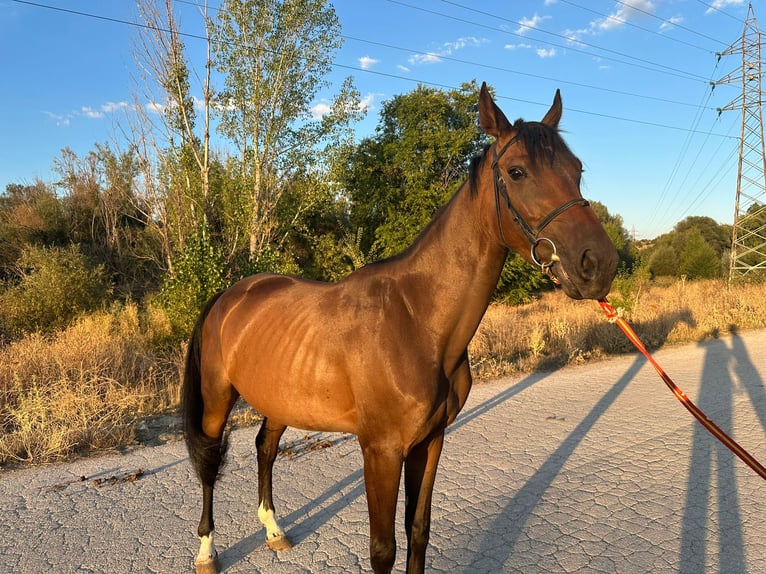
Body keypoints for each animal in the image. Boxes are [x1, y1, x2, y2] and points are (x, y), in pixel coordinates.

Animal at [183, 82, 620, 574]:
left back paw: (274, 531)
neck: (417, 321)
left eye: (576, 170)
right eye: (517, 171)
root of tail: (230, 295)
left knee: (265, 447)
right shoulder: (381, 452)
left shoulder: (430, 442)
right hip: (218, 399)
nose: (598, 264)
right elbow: (383, 550)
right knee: (209, 462)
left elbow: (418, 531)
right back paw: (206, 551)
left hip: (279, 398)